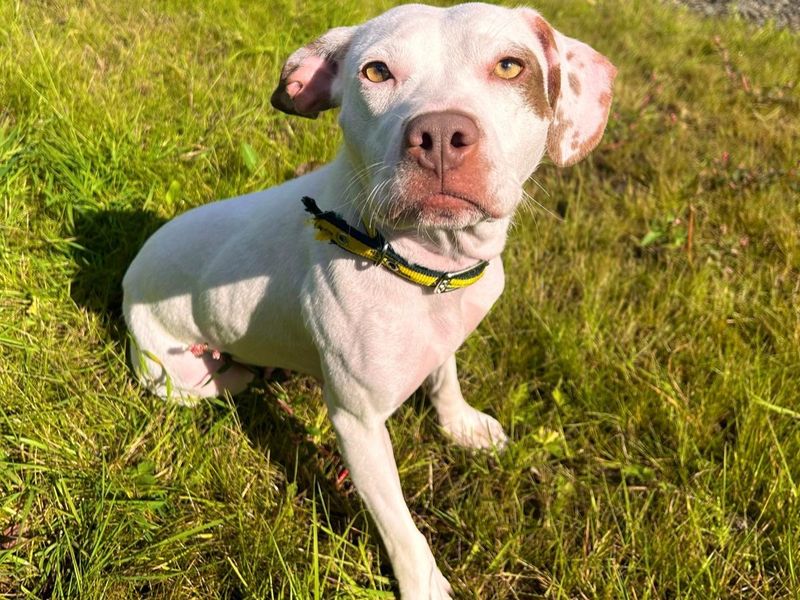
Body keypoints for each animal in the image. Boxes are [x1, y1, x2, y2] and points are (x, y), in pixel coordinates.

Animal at [122, 3, 616, 596]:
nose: (440, 132)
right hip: (178, 379)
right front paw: (424, 584)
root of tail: (130, 271)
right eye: (376, 72)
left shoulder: (443, 337)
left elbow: (445, 380)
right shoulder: (357, 425)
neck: (425, 261)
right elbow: (400, 525)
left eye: (510, 66)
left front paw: (462, 425)